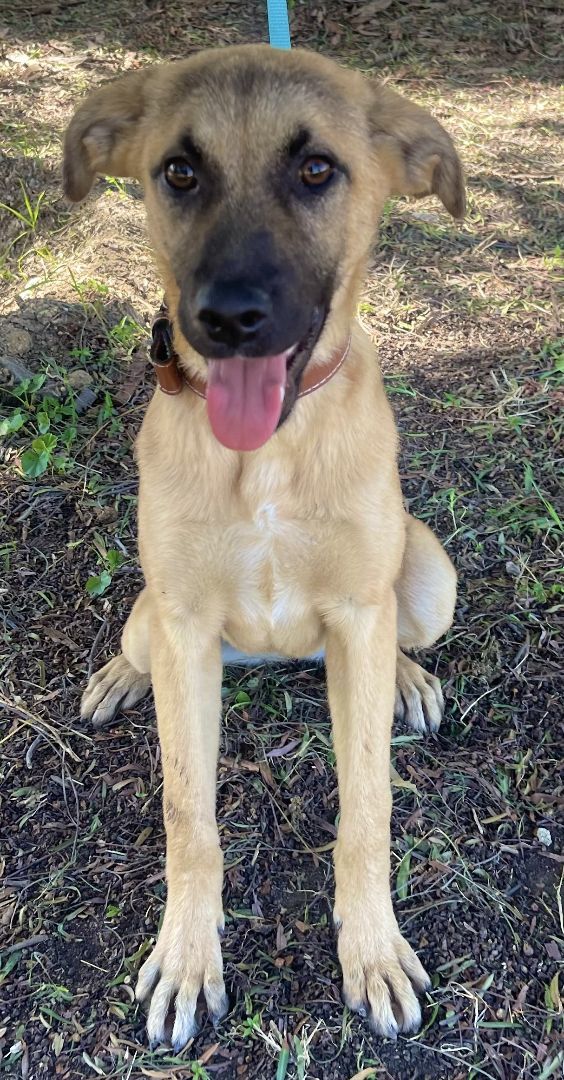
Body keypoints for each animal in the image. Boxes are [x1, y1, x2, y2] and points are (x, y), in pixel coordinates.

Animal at [64, 46, 460, 1049]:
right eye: (178, 171)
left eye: (316, 169)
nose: (228, 318)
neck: (270, 457)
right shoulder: (185, 625)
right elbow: (186, 813)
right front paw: (186, 958)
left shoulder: (359, 608)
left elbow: (368, 807)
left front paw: (372, 950)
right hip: (153, 619)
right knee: (141, 652)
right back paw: (119, 679)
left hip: (427, 576)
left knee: (395, 637)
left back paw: (408, 678)